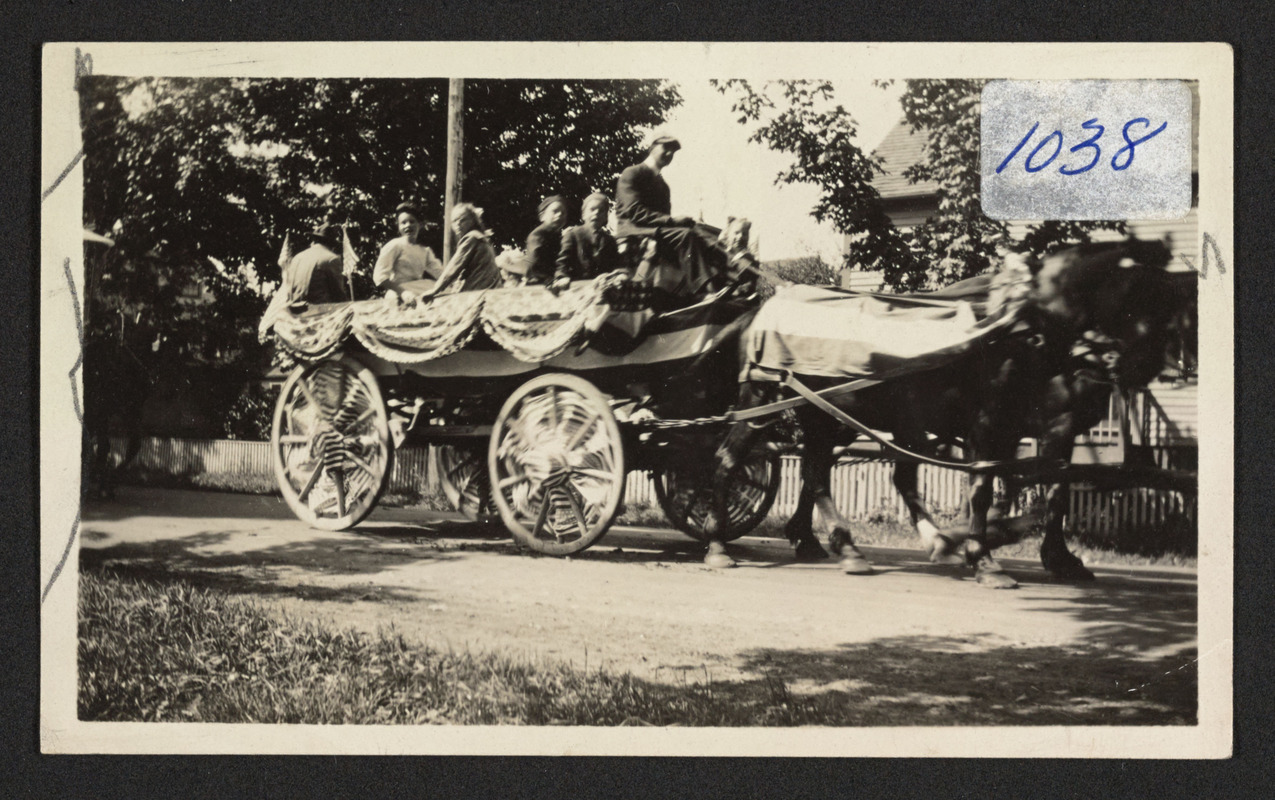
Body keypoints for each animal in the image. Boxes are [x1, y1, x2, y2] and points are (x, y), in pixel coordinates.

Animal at [703, 237, 1178, 589]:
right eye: (1137, 294)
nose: (1148, 366)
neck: (1025, 333)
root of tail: (761, 310)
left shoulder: (1028, 428)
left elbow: (1035, 491)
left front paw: (1027, 550)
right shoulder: (999, 424)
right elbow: (989, 490)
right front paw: (984, 556)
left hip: (826, 415)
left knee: (820, 472)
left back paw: (847, 547)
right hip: (763, 400)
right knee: (729, 459)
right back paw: (718, 544)